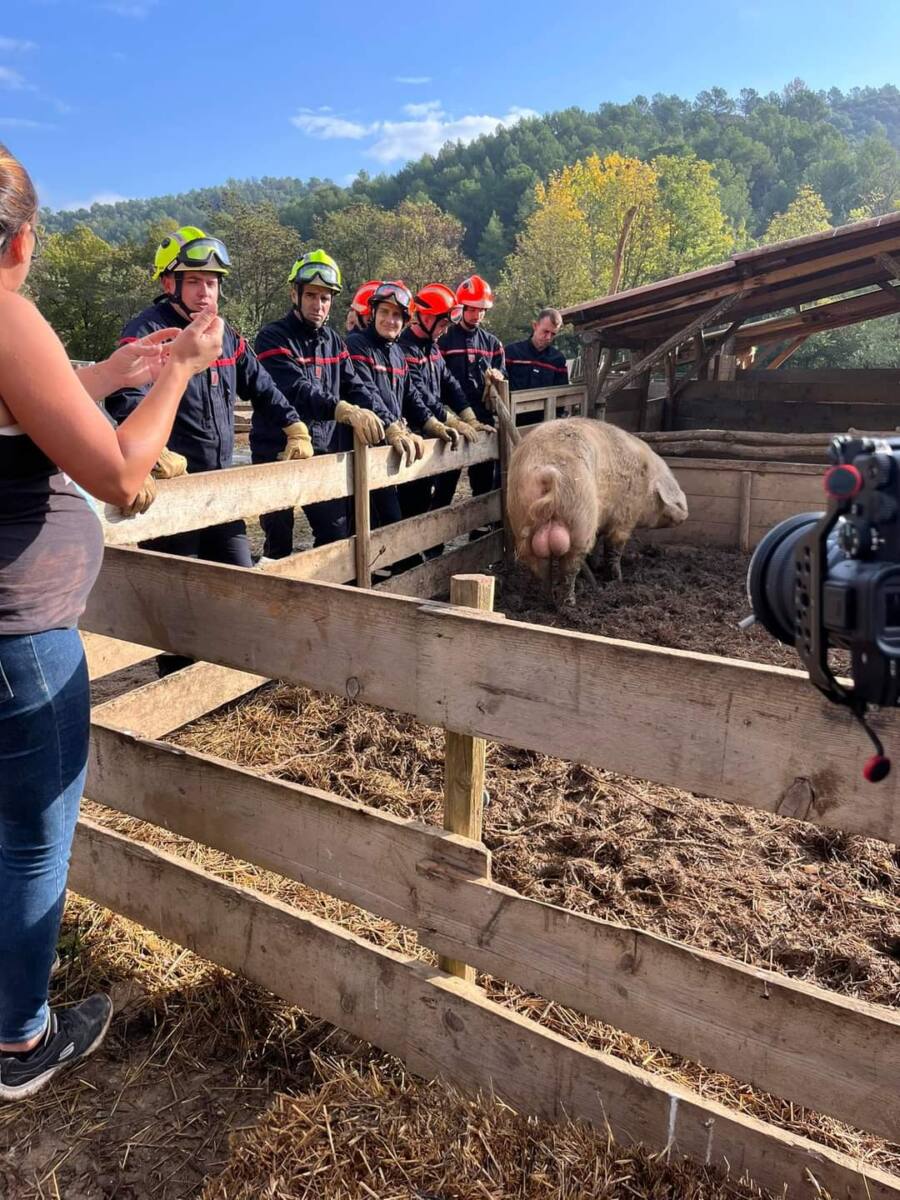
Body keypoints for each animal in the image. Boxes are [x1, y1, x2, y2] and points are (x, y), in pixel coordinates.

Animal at [508, 420, 691, 604]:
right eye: (676, 502)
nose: (686, 514)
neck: (647, 484)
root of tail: (547, 471)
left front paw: (596, 567)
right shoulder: (624, 517)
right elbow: (613, 549)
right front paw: (617, 580)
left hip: (522, 521)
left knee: (541, 568)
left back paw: (549, 600)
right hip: (581, 520)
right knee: (569, 567)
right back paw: (570, 602)